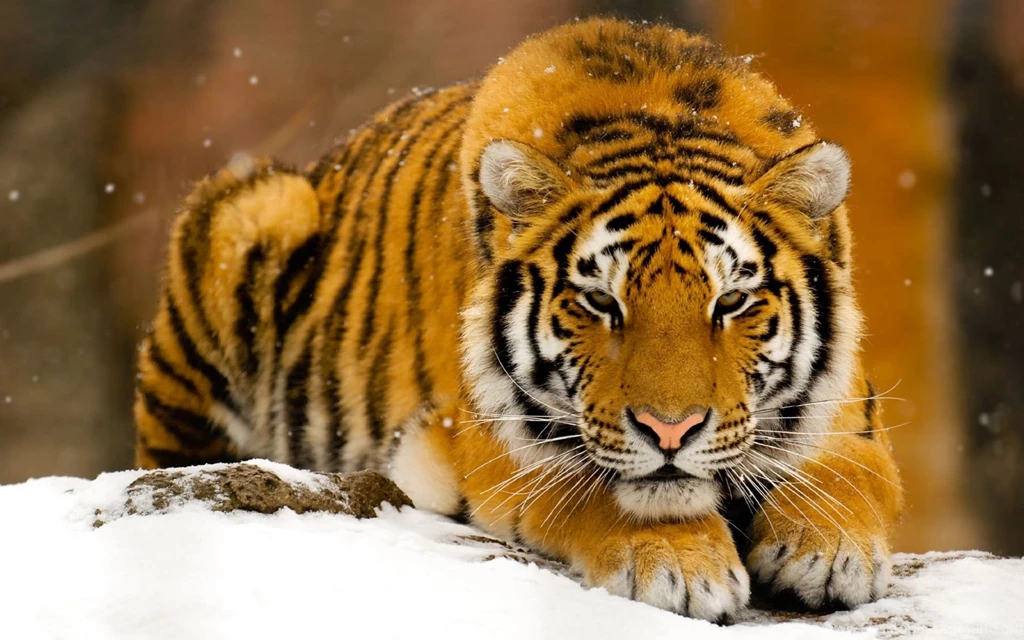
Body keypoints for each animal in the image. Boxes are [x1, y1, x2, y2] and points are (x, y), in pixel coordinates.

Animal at [134, 18, 904, 620]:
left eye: (731, 302)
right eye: (601, 302)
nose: (670, 431)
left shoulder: (848, 412)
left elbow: (849, 473)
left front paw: (829, 551)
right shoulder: (489, 436)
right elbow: (598, 486)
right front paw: (680, 564)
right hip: (253, 213)